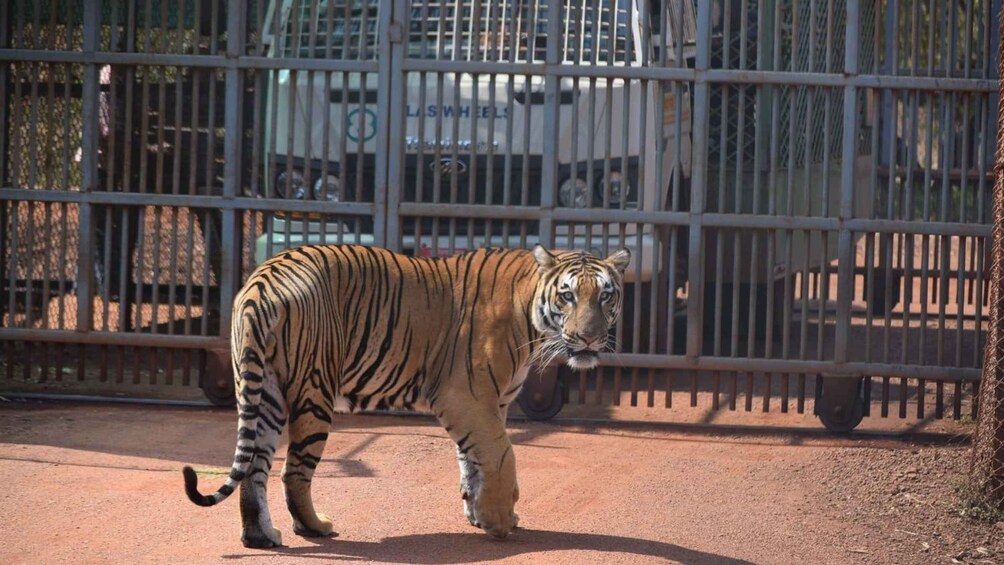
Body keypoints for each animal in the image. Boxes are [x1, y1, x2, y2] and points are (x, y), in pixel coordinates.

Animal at [181, 243, 630, 548]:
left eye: (605, 295)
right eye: (568, 295)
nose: (590, 339)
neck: (531, 313)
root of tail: (263, 280)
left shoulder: (491, 403)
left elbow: (473, 461)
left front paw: (478, 513)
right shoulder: (466, 396)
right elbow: (501, 455)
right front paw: (500, 521)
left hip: (264, 392)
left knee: (254, 468)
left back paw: (260, 536)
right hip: (314, 391)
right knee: (293, 472)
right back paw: (315, 527)